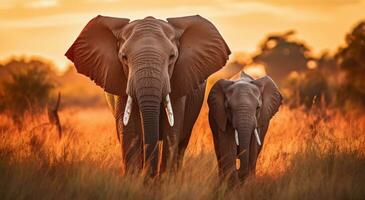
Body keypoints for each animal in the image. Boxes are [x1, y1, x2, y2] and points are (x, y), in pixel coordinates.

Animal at [65, 15, 229, 177]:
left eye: (172, 57)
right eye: (124, 57)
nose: (150, 176)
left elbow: (172, 131)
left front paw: (163, 181)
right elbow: (130, 132)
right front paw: (135, 180)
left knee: (181, 143)